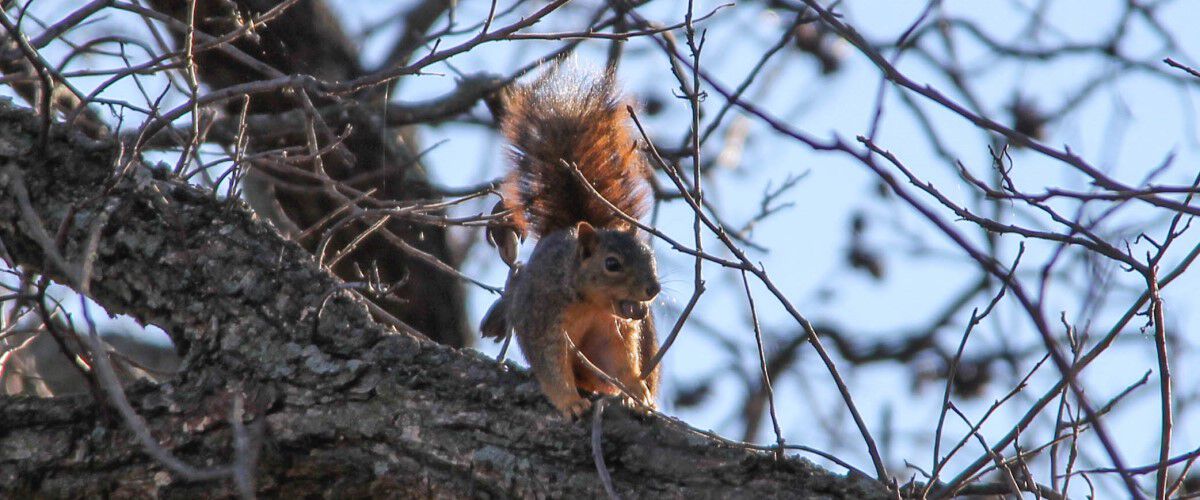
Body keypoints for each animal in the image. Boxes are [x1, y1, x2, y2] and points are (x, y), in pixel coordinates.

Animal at [480, 66, 667, 417]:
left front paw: (638, 393)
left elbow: (621, 365)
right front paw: (570, 403)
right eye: (612, 264)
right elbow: (551, 366)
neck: (590, 305)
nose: (653, 289)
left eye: (651, 258)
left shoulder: (614, 333)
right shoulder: (543, 319)